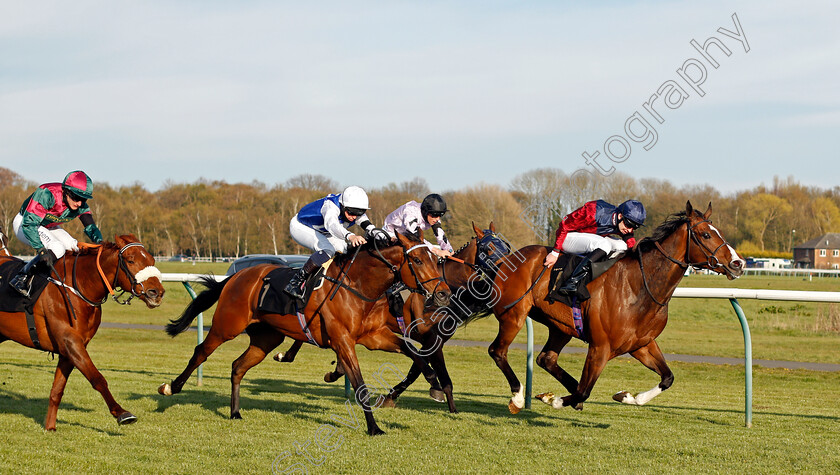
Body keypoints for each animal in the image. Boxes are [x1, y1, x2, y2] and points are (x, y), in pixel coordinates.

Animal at [0, 235, 166, 432]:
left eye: (152, 260)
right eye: (131, 260)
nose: (157, 292)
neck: (78, 287)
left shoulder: (70, 348)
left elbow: (57, 390)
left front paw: (50, 427)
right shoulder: (70, 341)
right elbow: (97, 378)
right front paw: (122, 413)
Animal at [157, 232, 446, 436]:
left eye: (436, 260)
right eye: (418, 260)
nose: (443, 293)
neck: (356, 285)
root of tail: (235, 277)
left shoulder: (373, 337)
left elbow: (412, 350)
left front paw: (435, 383)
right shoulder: (343, 342)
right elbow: (360, 385)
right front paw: (374, 428)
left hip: (266, 338)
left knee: (238, 366)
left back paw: (235, 412)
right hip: (226, 326)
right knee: (201, 352)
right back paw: (171, 387)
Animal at [486, 203, 740, 414]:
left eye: (718, 232)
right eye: (705, 234)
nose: (737, 263)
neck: (639, 287)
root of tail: (507, 260)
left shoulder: (641, 344)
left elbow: (667, 377)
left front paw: (628, 396)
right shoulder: (600, 347)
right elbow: (584, 391)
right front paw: (555, 400)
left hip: (560, 326)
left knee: (546, 359)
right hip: (514, 315)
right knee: (497, 351)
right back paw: (518, 398)